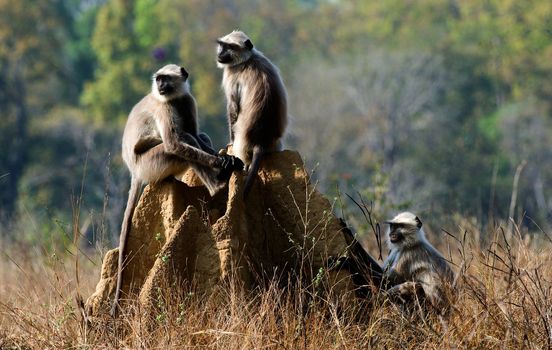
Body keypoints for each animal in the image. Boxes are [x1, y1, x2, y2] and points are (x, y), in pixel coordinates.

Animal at [111, 63, 242, 318]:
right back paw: (219, 185)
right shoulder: (164, 106)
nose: (161, 86)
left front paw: (225, 158)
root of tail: (135, 171)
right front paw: (220, 162)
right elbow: (174, 143)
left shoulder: (186, 100)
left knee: (195, 135)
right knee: (182, 141)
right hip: (153, 163)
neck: (172, 98)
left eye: (166, 80)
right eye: (158, 79)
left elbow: (196, 133)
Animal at [217, 30, 288, 197]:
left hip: (243, 145)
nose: (220, 53)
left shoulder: (231, 75)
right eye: (222, 45)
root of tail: (261, 140)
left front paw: (229, 142)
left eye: (229, 47)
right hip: (275, 145)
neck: (248, 59)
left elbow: (233, 108)